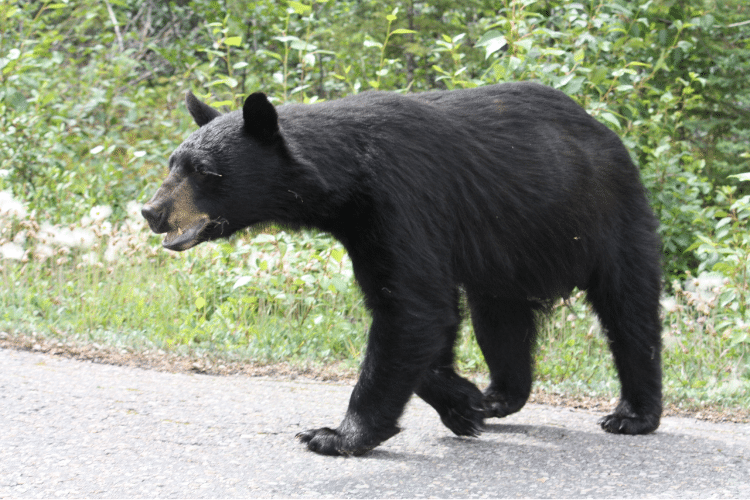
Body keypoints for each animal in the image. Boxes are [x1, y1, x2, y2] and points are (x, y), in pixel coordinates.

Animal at [142, 82, 663, 456]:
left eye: (204, 171)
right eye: (172, 163)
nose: (152, 212)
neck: (348, 180)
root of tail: (609, 132)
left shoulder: (402, 202)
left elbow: (413, 308)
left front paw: (335, 436)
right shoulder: (366, 229)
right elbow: (422, 312)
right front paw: (463, 402)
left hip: (609, 219)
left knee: (629, 311)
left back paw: (632, 415)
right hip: (504, 260)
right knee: (500, 321)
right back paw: (499, 396)